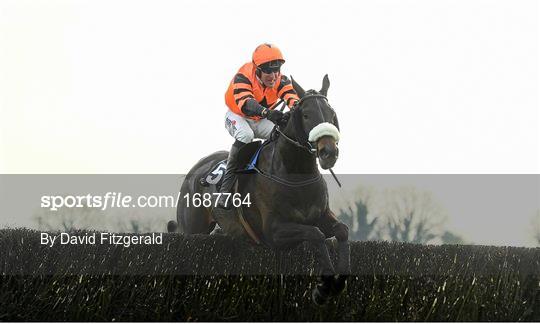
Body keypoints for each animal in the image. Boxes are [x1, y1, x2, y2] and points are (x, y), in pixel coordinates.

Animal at [169, 74, 350, 306]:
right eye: (306, 115)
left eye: (331, 113)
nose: (328, 152)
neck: (295, 174)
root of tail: (193, 171)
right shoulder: (273, 231)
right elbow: (316, 234)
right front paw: (323, 289)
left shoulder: (321, 215)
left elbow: (342, 230)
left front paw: (338, 282)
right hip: (192, 230)